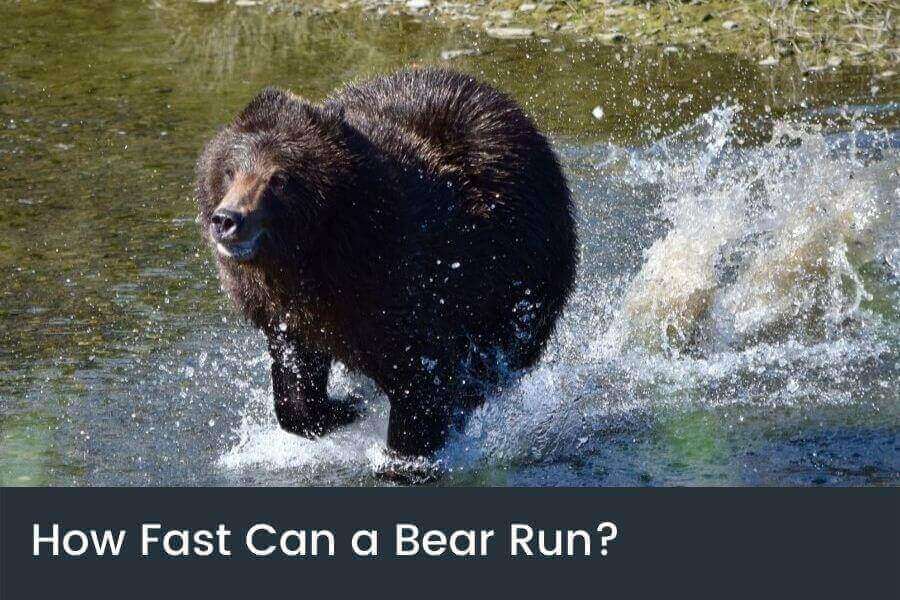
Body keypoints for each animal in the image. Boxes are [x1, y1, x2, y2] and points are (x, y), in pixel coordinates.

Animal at [195, 68, 577, 457]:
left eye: (279, 178)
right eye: (229, 170)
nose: (227, 219)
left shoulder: (403, 283)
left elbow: (422, 380)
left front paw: (404, 449)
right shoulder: (289, 311)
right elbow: (296, 376)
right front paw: (342, 408)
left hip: (521, 274)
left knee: (499, 353)